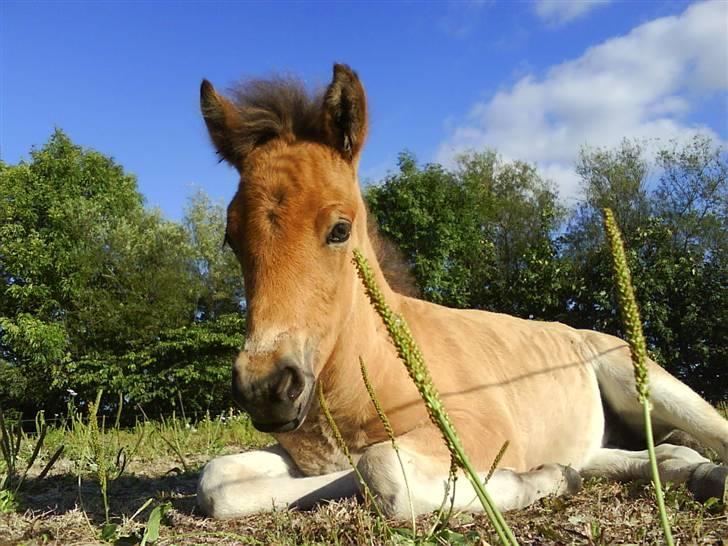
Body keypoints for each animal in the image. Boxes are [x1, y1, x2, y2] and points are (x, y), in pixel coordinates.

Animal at [195, 65, 728, 520]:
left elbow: (382, 470)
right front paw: (552, 474)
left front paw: (537, 479)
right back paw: (691, 472)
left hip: (643, 378)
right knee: (659, 453)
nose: (266, 389)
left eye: (340, 229)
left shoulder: (480, 428)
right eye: (230, 239)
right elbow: (217, 480)